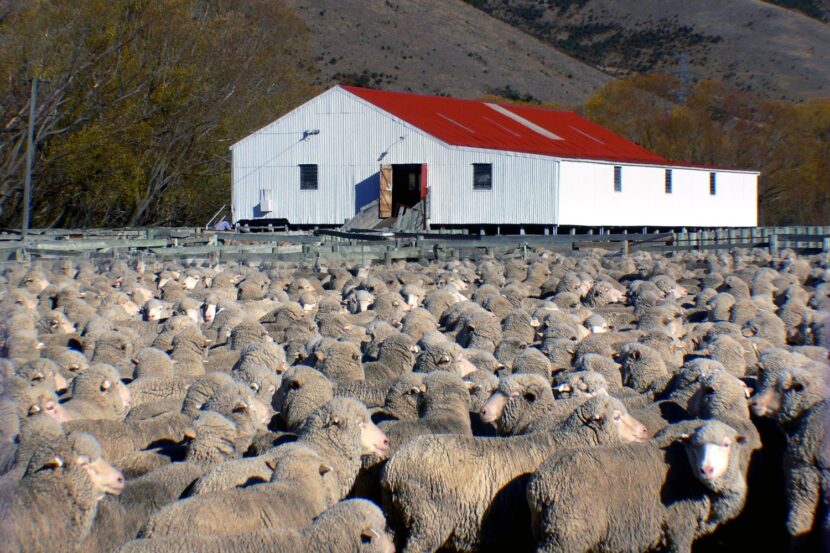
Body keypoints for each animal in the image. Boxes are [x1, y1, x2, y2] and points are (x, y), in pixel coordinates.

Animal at [384, 392, 648, 552]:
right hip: (428, 519)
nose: (645, 431)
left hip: (396, 520)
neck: (570, 440)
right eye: (616, 417)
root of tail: (393, 467)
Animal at [528, 420, 752, 548]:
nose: (706, 470)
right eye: (695, 446)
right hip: (568, 532)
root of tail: (541, 485)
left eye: (726, 444)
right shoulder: (679, 525)